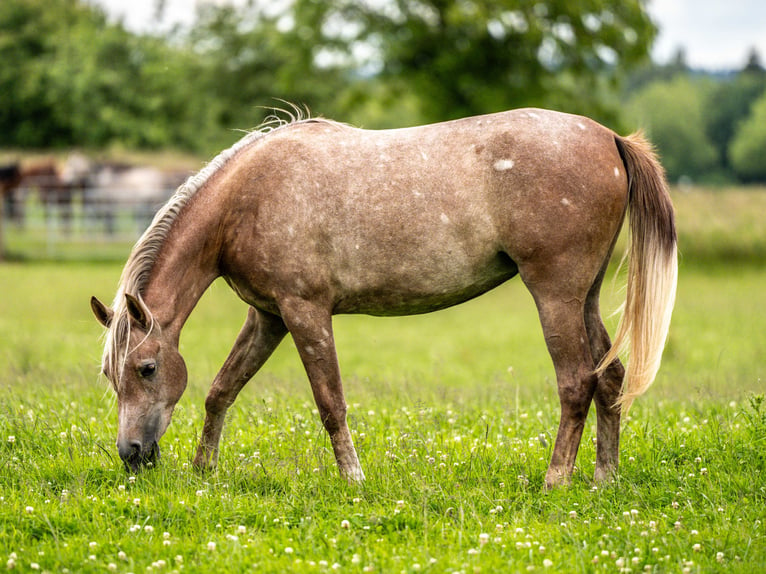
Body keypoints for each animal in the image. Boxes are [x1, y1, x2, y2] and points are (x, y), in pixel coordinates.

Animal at [91, 109, 680, 490]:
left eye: (145, 368)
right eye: (110, 375)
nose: (131, 455)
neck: (246, 198)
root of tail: (610, 138)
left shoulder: (305, 312)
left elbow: (330, 402)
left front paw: (352, 478)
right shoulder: (268, 317)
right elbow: (221, 390)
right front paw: (203, 471)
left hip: (554, 294)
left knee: (576, 381)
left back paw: (556, 480)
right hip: (585, 296)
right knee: (610, 376)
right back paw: (604, 479)